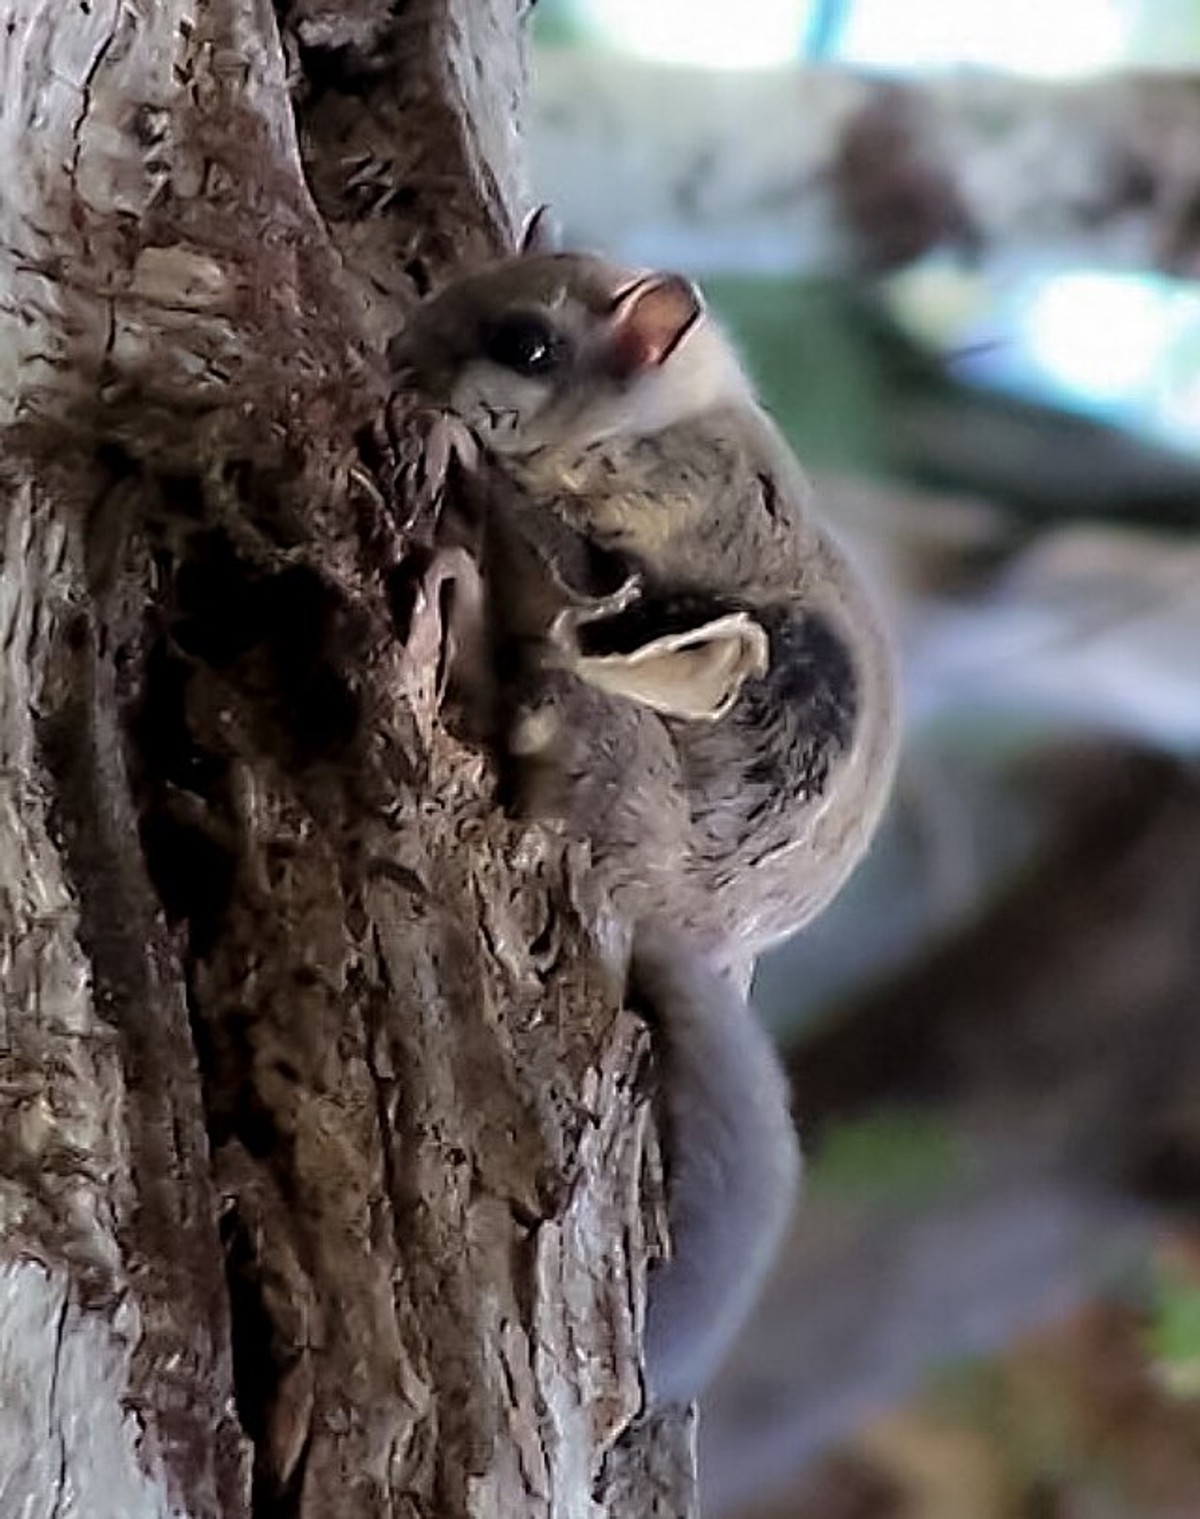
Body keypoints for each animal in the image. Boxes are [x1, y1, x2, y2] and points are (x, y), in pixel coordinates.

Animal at [387, 223, 899, 1407]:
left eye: (526, 343)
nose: (398, 351)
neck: (662, 414)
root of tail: (669, 915)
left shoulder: (642, 517)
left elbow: (560, 535)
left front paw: (451, 443)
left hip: (600, 714)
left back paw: (457, 588)